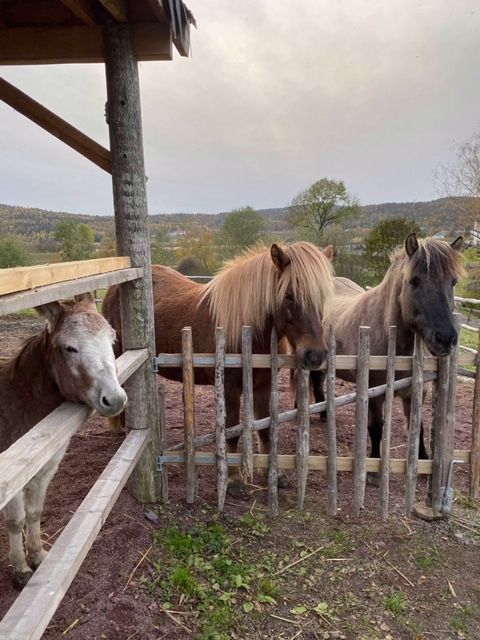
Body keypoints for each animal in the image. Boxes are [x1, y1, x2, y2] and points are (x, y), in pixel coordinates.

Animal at [0, 293, 127, 589]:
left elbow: (35, 512)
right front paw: (20, 569)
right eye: (69, 348)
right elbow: (16, 520)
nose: (115, 399)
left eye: (112, 339)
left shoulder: (45, 469)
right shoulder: (13, 480)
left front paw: (38, 556)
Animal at [103, 242, 334, 496]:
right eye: (289, 295)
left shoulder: (263, 386)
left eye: (323, 296)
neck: (246, 328)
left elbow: (265, 429)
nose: (316, 355)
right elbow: (232, 430)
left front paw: (274, 474)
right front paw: (233, 479)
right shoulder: (230, 389)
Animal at [310, 233, 465, 464]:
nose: (446, 338)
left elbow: (417, 428)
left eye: (453, 282)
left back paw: (323, 415)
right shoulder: (375, 394)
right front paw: (374, 461)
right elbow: (376, 428)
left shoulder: (417, 393)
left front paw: (423, 457)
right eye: (414, 281)